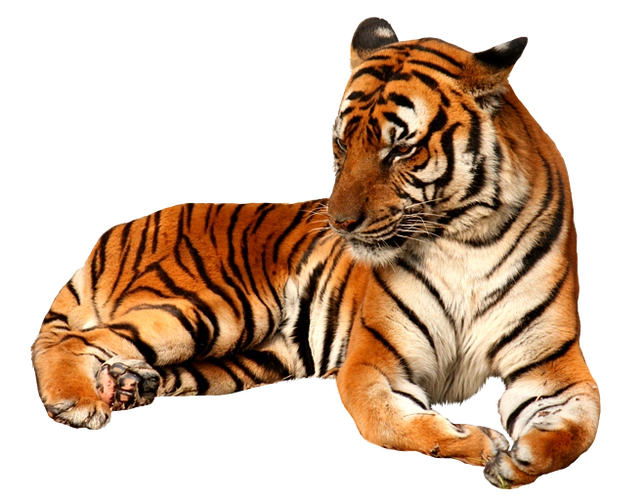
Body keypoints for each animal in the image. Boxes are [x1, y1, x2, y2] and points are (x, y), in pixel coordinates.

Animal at [30, 16, 599, 491]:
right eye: (343, 145)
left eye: (401, 148)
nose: (341, 223)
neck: (464, 241)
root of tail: (119, 228)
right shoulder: (374, 361)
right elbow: (396, 421)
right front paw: (479, 443)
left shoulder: (552, 365)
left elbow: (580, 428)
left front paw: (520, 458)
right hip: (214, 308)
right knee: (72, 340)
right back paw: (78, 401)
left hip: (251, 357)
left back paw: (129, 384)